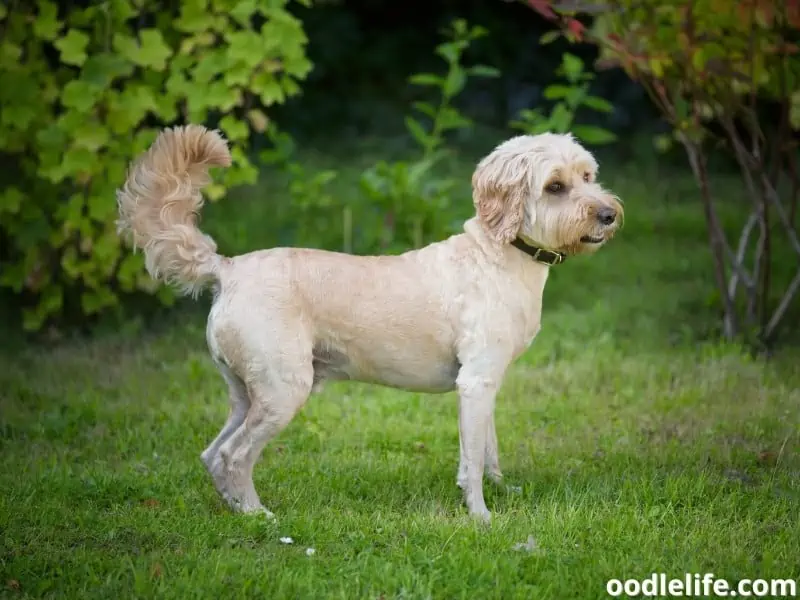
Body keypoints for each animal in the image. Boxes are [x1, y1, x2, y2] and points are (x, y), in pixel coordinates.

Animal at [115, 124, 620, 524]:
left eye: (588, 176)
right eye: (555, 186)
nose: (609, 214)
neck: (500, 253)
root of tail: (227, 268)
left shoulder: (485, 383)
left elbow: (488, 448)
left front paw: (502, 490)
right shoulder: (476, 382)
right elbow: (472, 460)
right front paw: (481, 516)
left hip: (246, 393)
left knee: (212, 454)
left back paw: (237, 510)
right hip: (282, 392)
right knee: (233, 455)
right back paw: (260, 517)